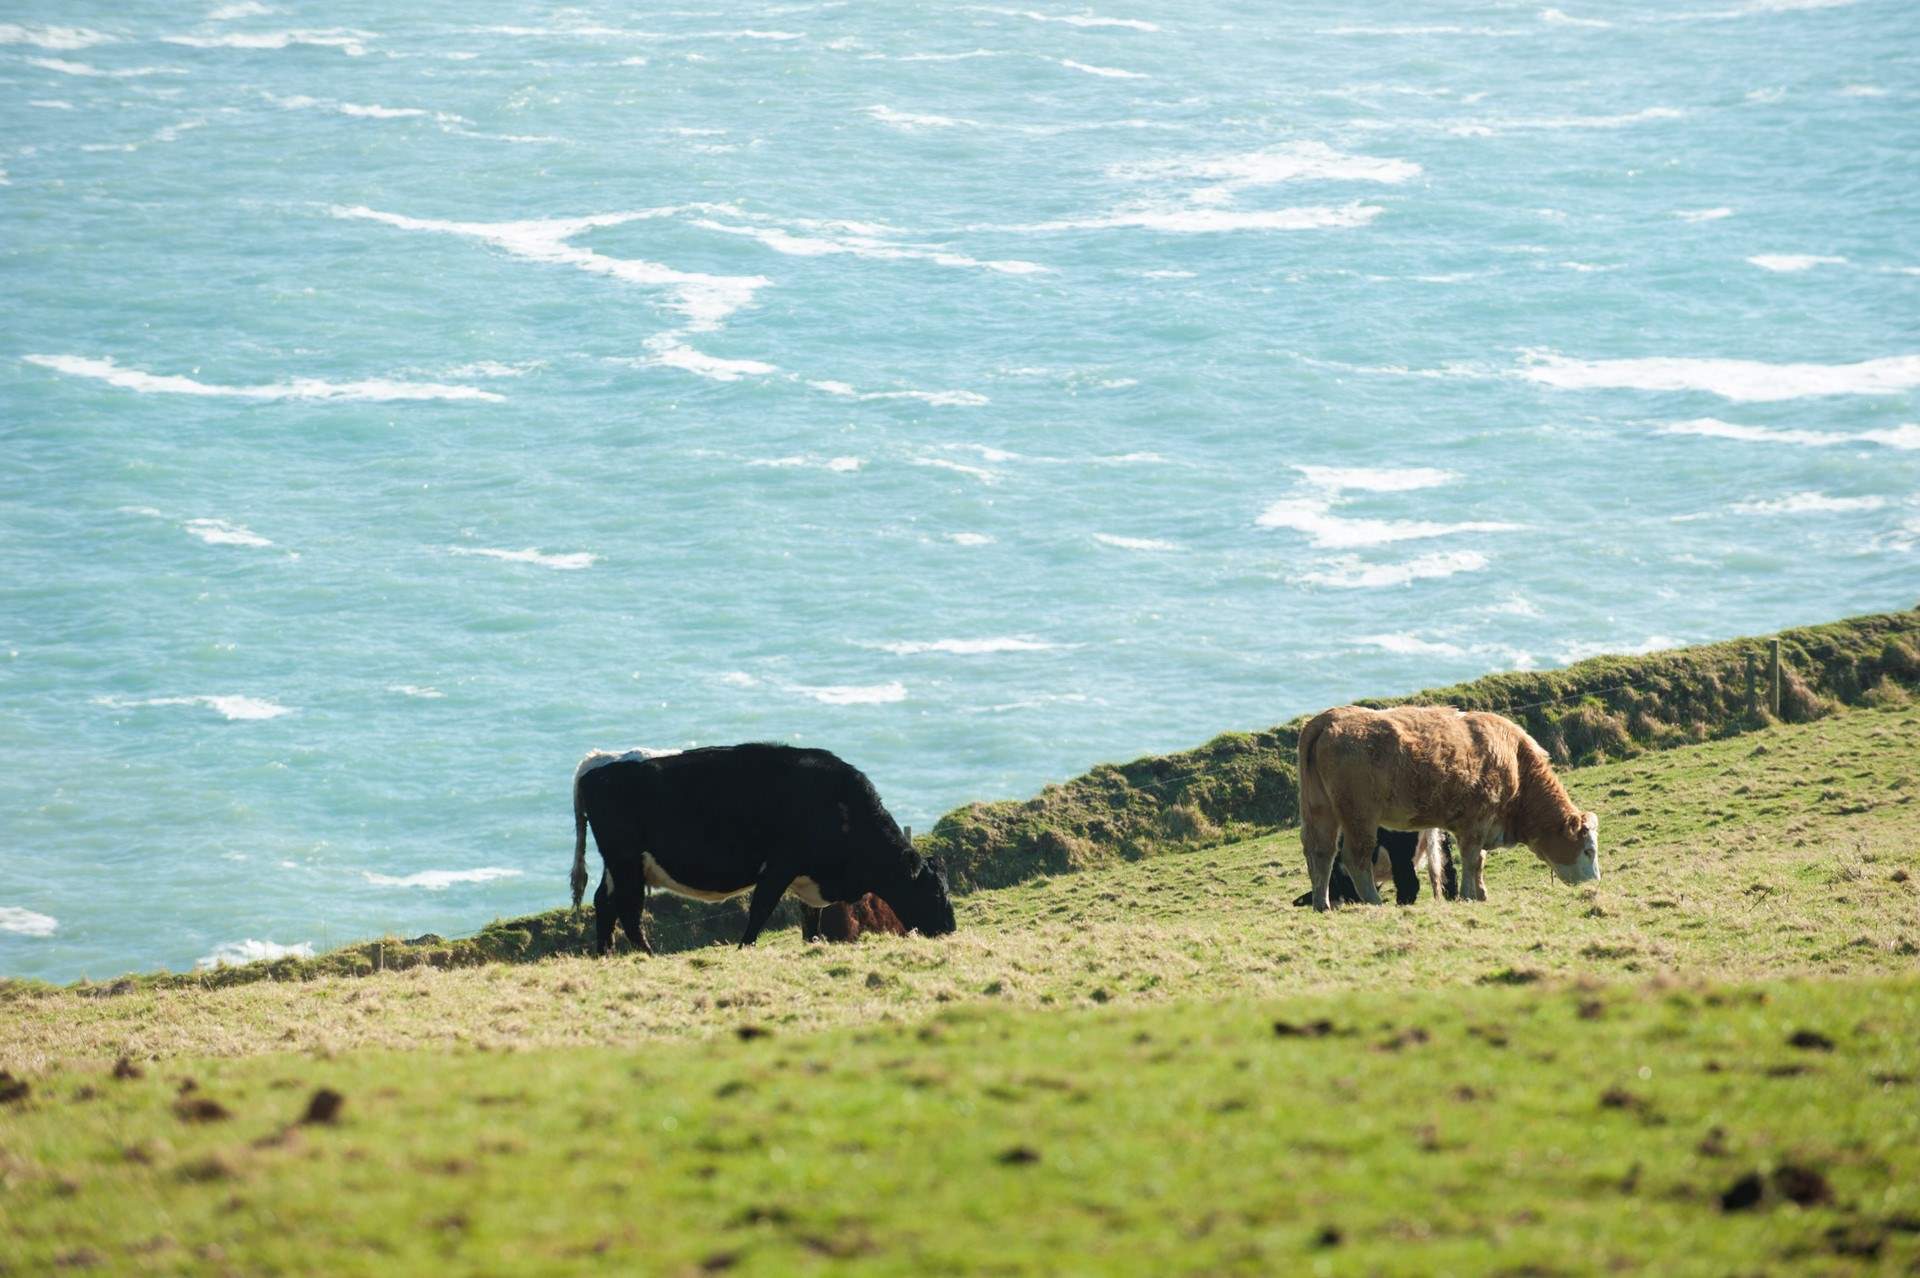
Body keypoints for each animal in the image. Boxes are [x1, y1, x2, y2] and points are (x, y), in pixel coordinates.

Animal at [570, 743, 956, 953]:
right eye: (936, 892)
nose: (951, 929)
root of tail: (595, 760)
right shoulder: (780, 865)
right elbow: (761, 910)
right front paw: (745, 947)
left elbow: (810, 919)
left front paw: (812, 945)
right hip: (626, 862)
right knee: (628, 910)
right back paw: (648, 955)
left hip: (617, 865)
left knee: (604, 903)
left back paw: (606, 954)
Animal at [1291, 827, 1457, 907]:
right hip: (1441, 843)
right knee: (1448, 873)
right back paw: (1453, 899)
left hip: (1399, 854)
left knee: (1409, 883)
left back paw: (1401, 904)